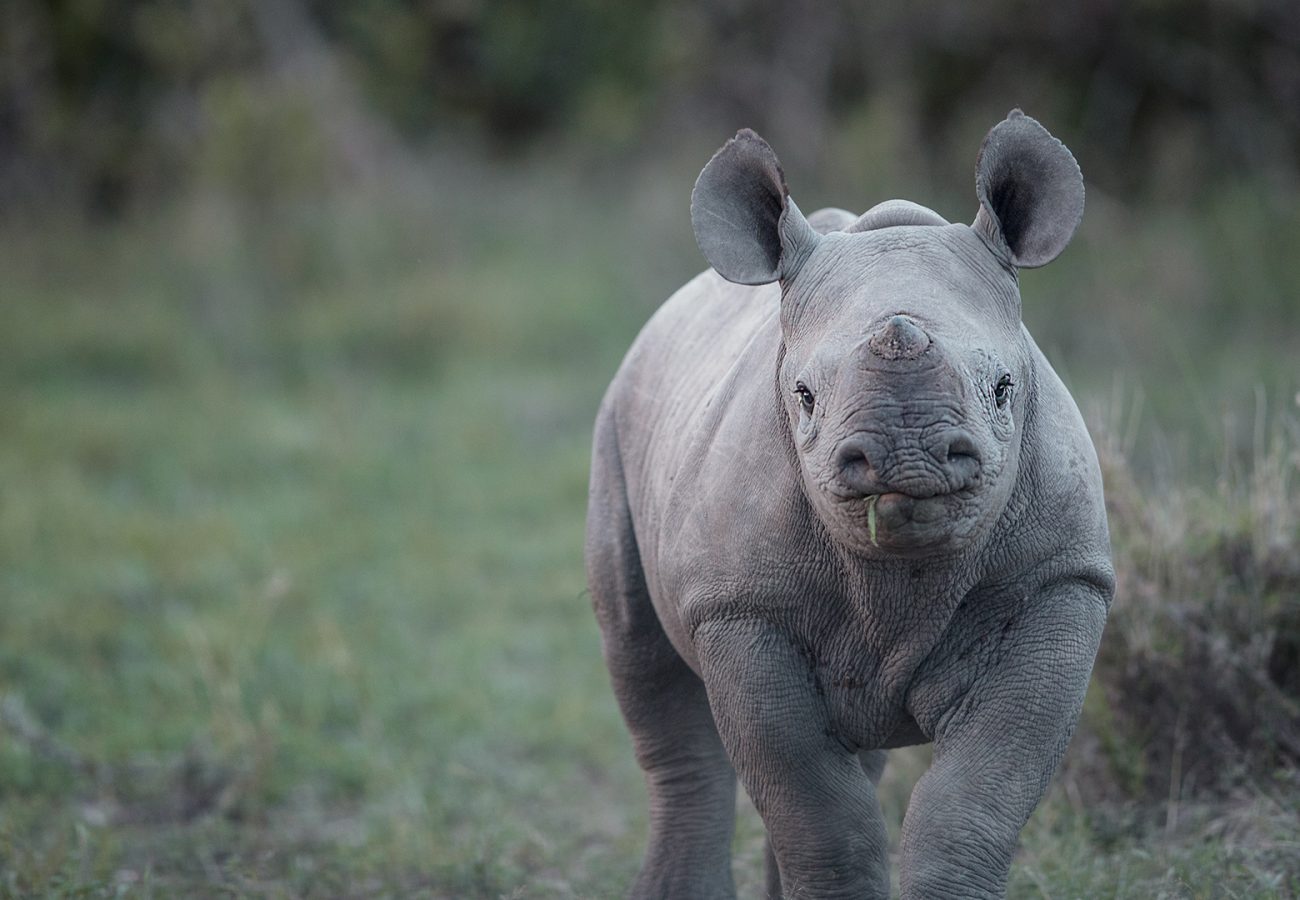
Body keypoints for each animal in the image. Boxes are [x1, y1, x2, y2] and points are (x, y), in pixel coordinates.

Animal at [585, 112, 1112, 900]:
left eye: (1003, 389)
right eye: (804, 396)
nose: (907, 456)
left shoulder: (1061, 579)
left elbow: (973, 801)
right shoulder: (739, 608)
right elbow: (820, 815)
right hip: (619, 418)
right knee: (652, 678)